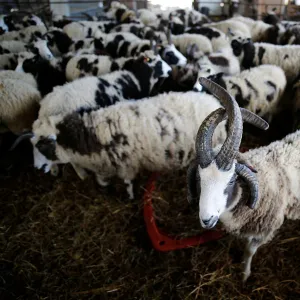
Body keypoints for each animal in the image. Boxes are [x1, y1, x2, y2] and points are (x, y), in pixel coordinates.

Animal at [22, 90, 226, 198]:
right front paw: (105, 188)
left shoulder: (127, 165)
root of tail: (213, 102)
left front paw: (129, 197)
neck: (91, 135)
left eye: (42, 145)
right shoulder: (102, 165)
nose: (36, 167)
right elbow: (101, 180)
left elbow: (128, 183)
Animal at [186, 77, 300, 282]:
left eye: (231, 181)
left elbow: (249, 251)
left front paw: (244, 274)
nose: (206, 220)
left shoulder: (265, 230)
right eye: (199, 179)